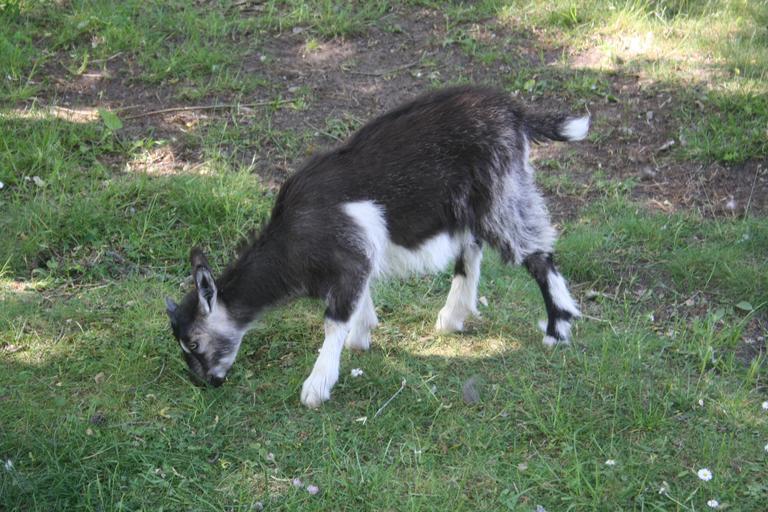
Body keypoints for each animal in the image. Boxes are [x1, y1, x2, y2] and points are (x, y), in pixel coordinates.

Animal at [165, 85, 588, 407]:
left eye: (194, 342)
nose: (208, 382)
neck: (292, 238)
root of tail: (514, 111)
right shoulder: (357, 256)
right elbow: (358, 298)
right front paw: (361, 336)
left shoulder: (349, 250)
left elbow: (334, 319)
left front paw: (317, 385)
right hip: (470, 204)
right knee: (472, 248)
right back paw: (453, 317)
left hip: (502, 192)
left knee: (535, 253)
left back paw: (557, 329)